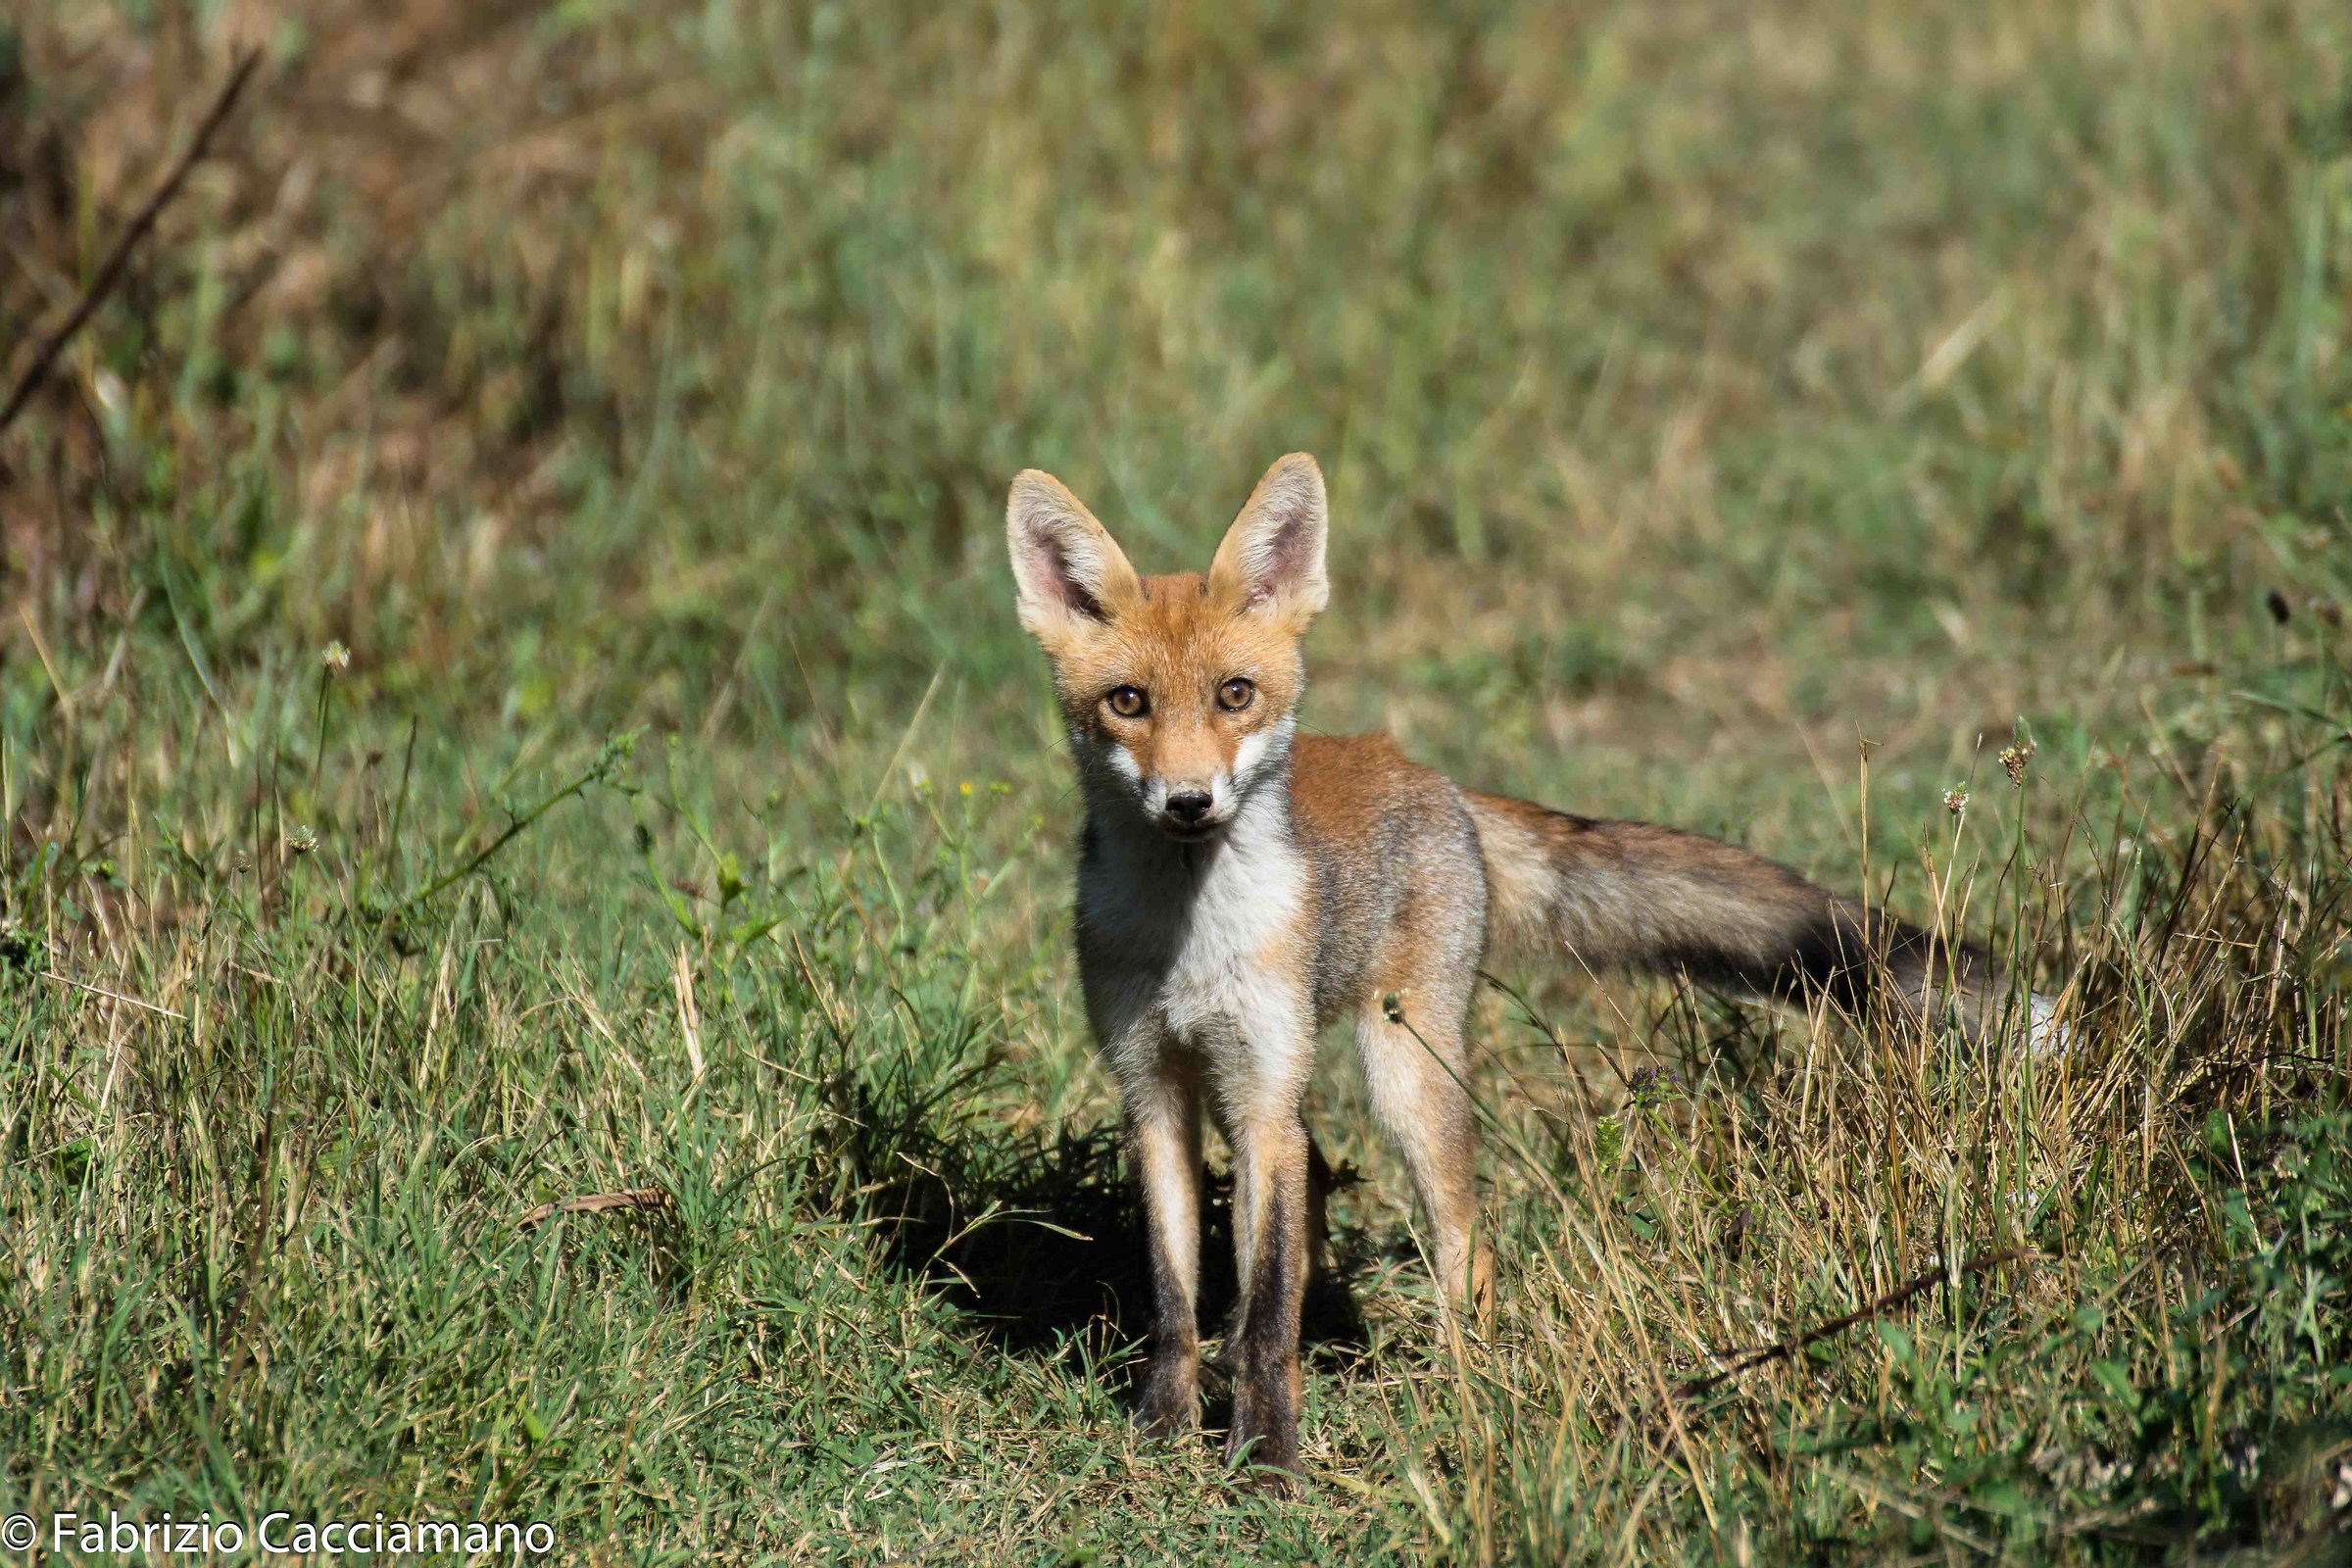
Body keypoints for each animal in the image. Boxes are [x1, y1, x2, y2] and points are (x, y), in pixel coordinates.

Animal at [1006, 452, 2062, 1484]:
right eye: (1128, 703)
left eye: (1234, 694)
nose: (1189, 803)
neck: (1189, 941)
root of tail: (1427, 776)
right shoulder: (1153, 1089)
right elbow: (1175, 1292)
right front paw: (1164, 1426)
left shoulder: (1260, 1092)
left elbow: (1264, 1309)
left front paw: (1267, 1456)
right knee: (1316, 1198)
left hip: (1404, 1076)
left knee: (1462, 1245)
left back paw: (1456, 1392)